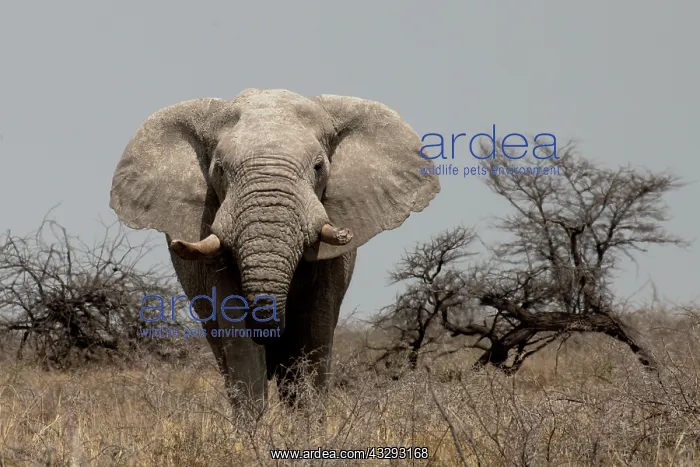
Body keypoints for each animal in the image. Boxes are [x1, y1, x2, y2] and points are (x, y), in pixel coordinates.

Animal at [109, 88, 440, 413]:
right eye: (219, 170)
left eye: (319, 168)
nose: (272, 332)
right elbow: (235, 330)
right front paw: (253, 426)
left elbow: (313, 330)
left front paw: (307, 423)